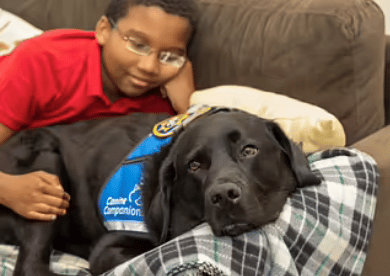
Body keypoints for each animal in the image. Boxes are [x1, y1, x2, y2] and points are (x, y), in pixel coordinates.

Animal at [0, 108, 320, 276]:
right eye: (194, 165)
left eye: (249, 150)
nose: (223, 196)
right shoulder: (107, 249)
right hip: (44, 172)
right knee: (30, 265)